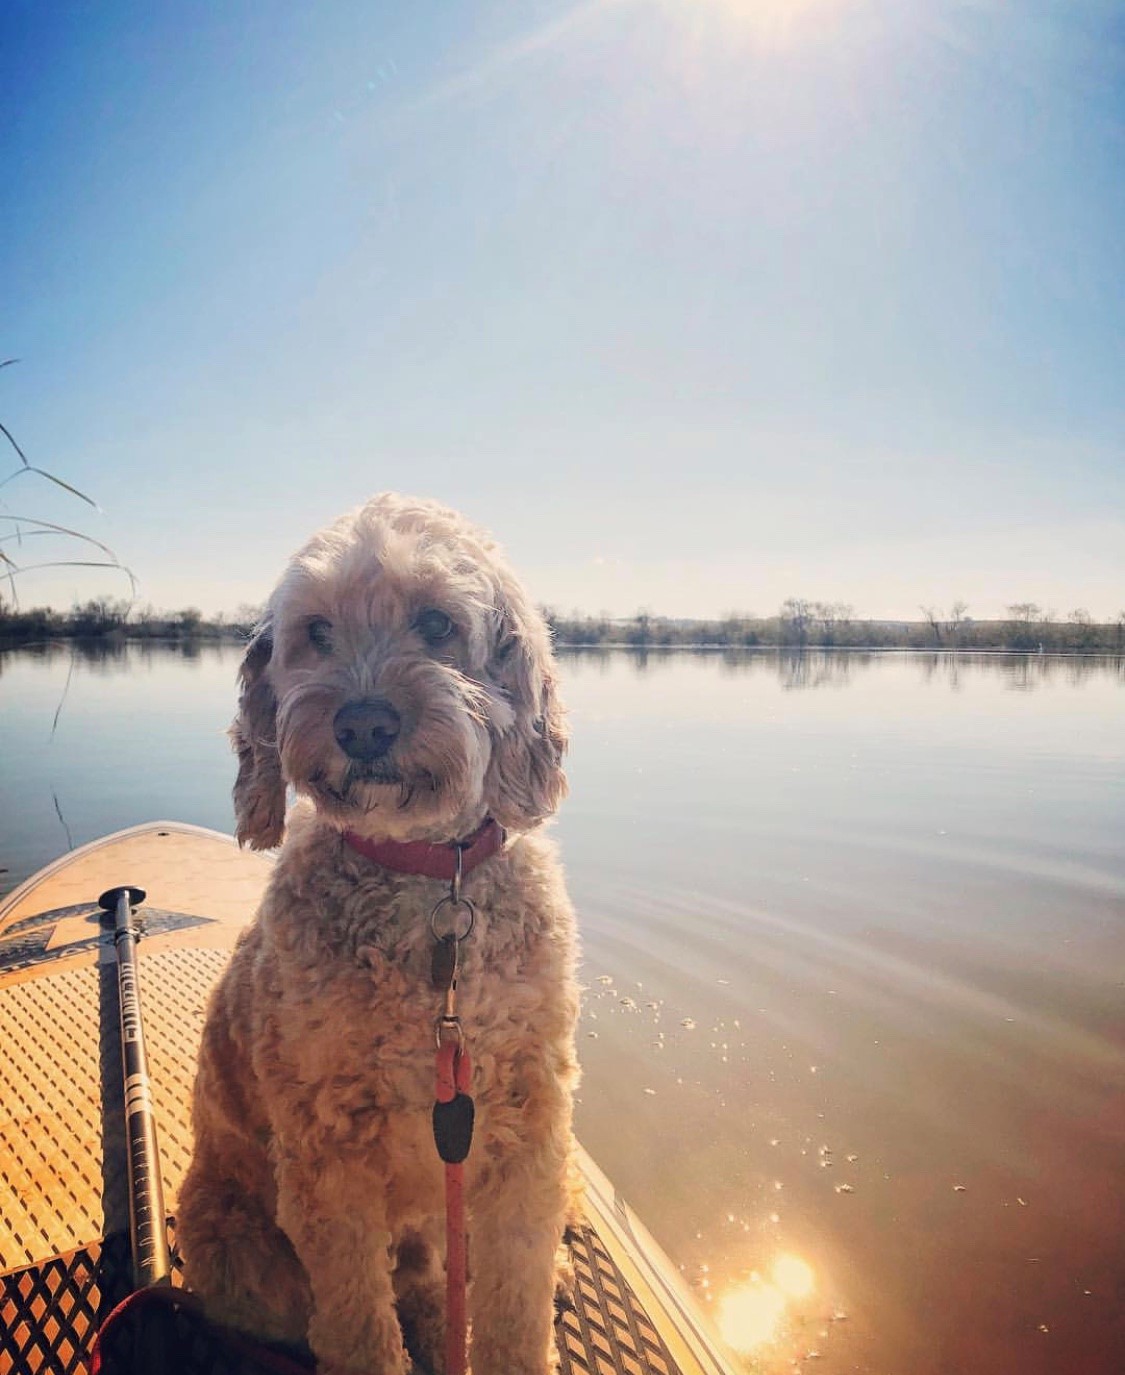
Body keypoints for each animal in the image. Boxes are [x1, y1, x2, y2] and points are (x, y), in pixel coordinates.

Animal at [180, 497, 577, 1375]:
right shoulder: (326, 1161)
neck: (431, 880)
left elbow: (514, 1305)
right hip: (234, 1241)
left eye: (436, 622)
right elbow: (359, 1324)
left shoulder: (526, 1133)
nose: (363, 724)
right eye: (316, 631)